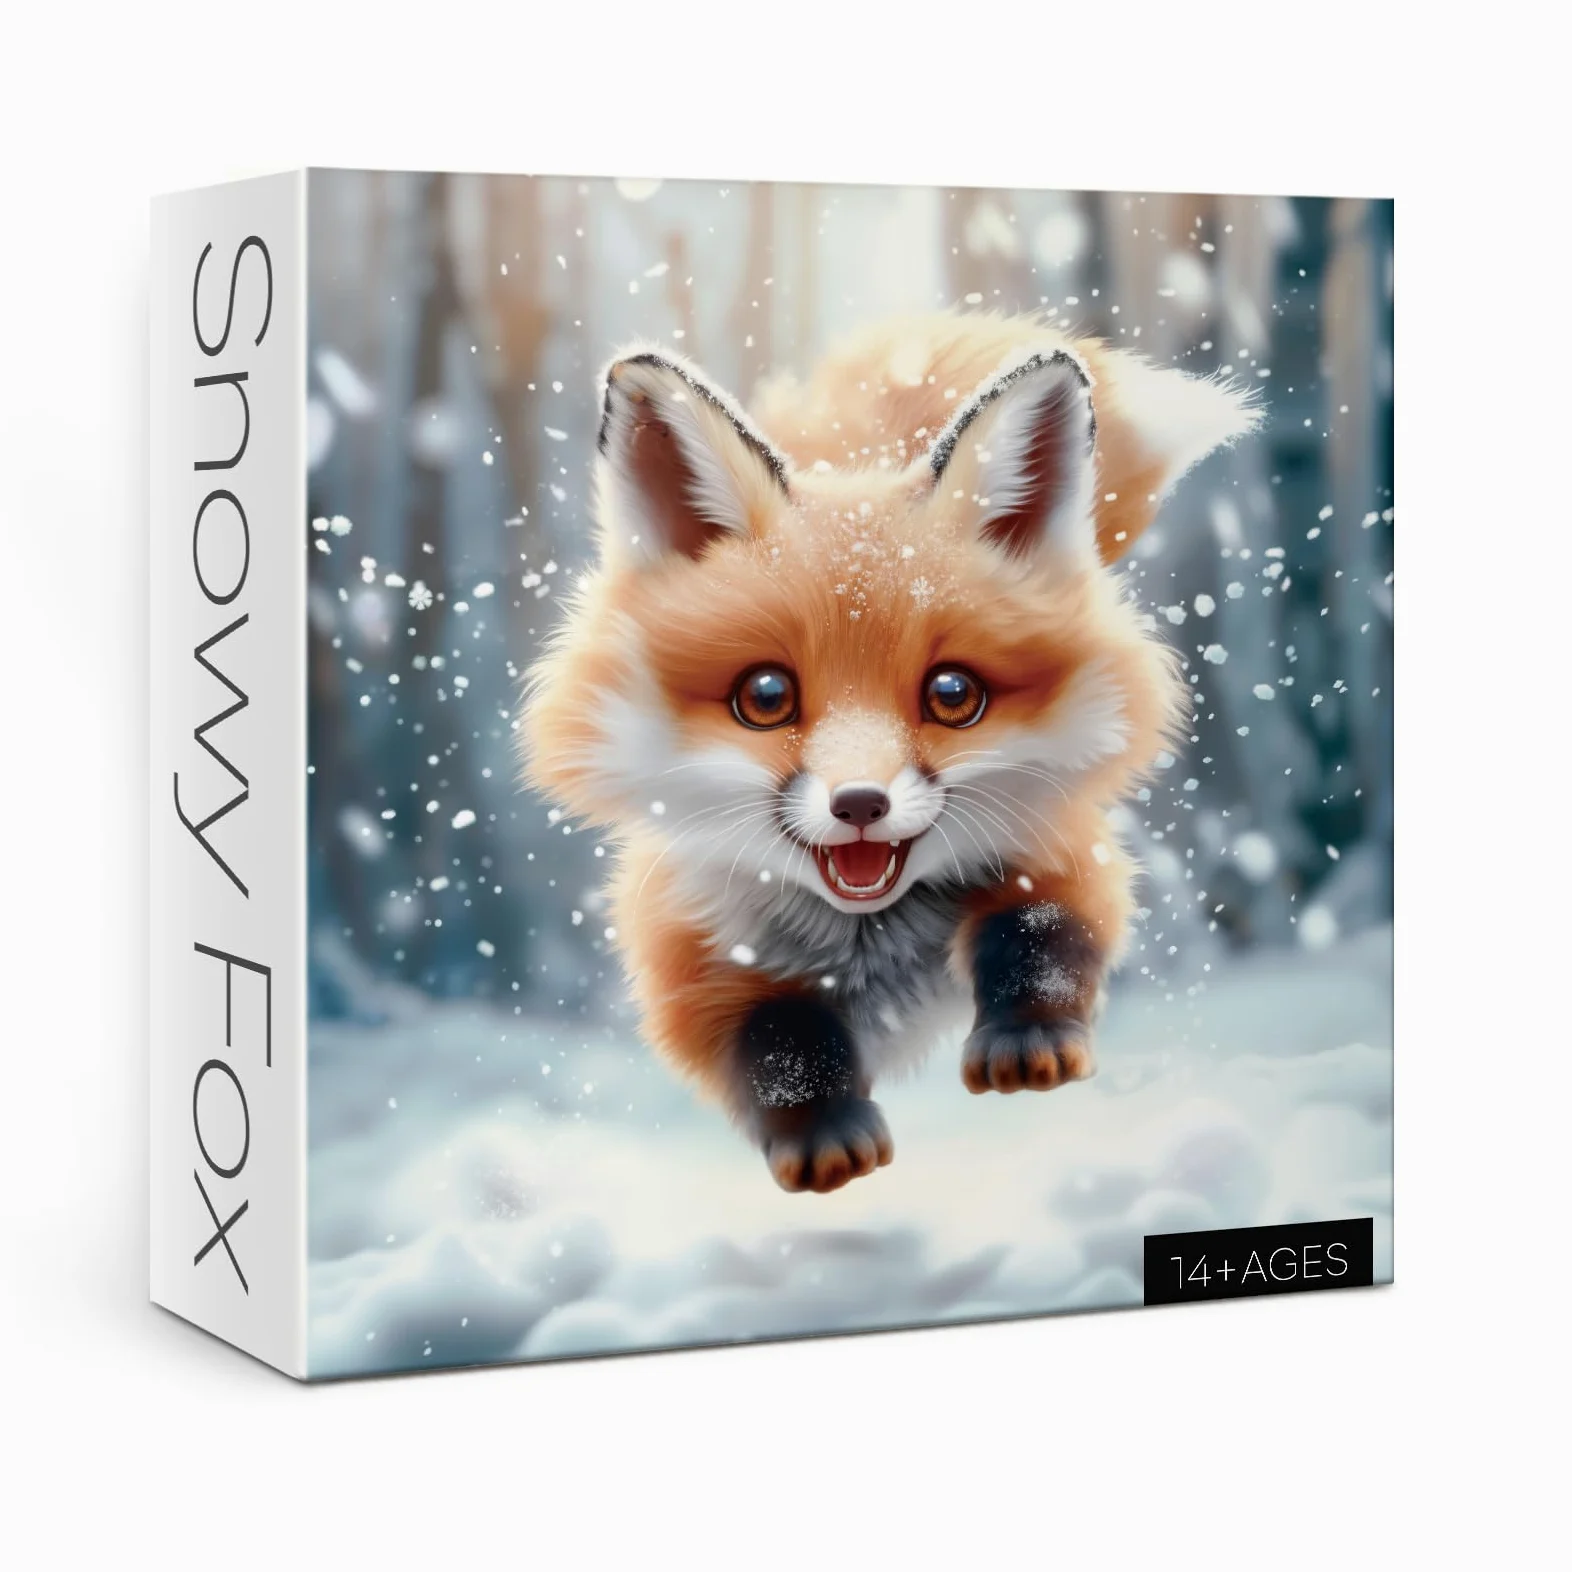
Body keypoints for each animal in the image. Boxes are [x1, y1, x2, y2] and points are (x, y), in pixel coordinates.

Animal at [521, 311, 1259, 1194]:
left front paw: (1029, 1038)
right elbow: (776, 1041)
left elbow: (1043, 934)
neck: (869, 944)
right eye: (764, 697)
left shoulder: (1062, 844)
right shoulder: (687, 951)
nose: (860, 803)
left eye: (953, 694)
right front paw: (823, 1134)